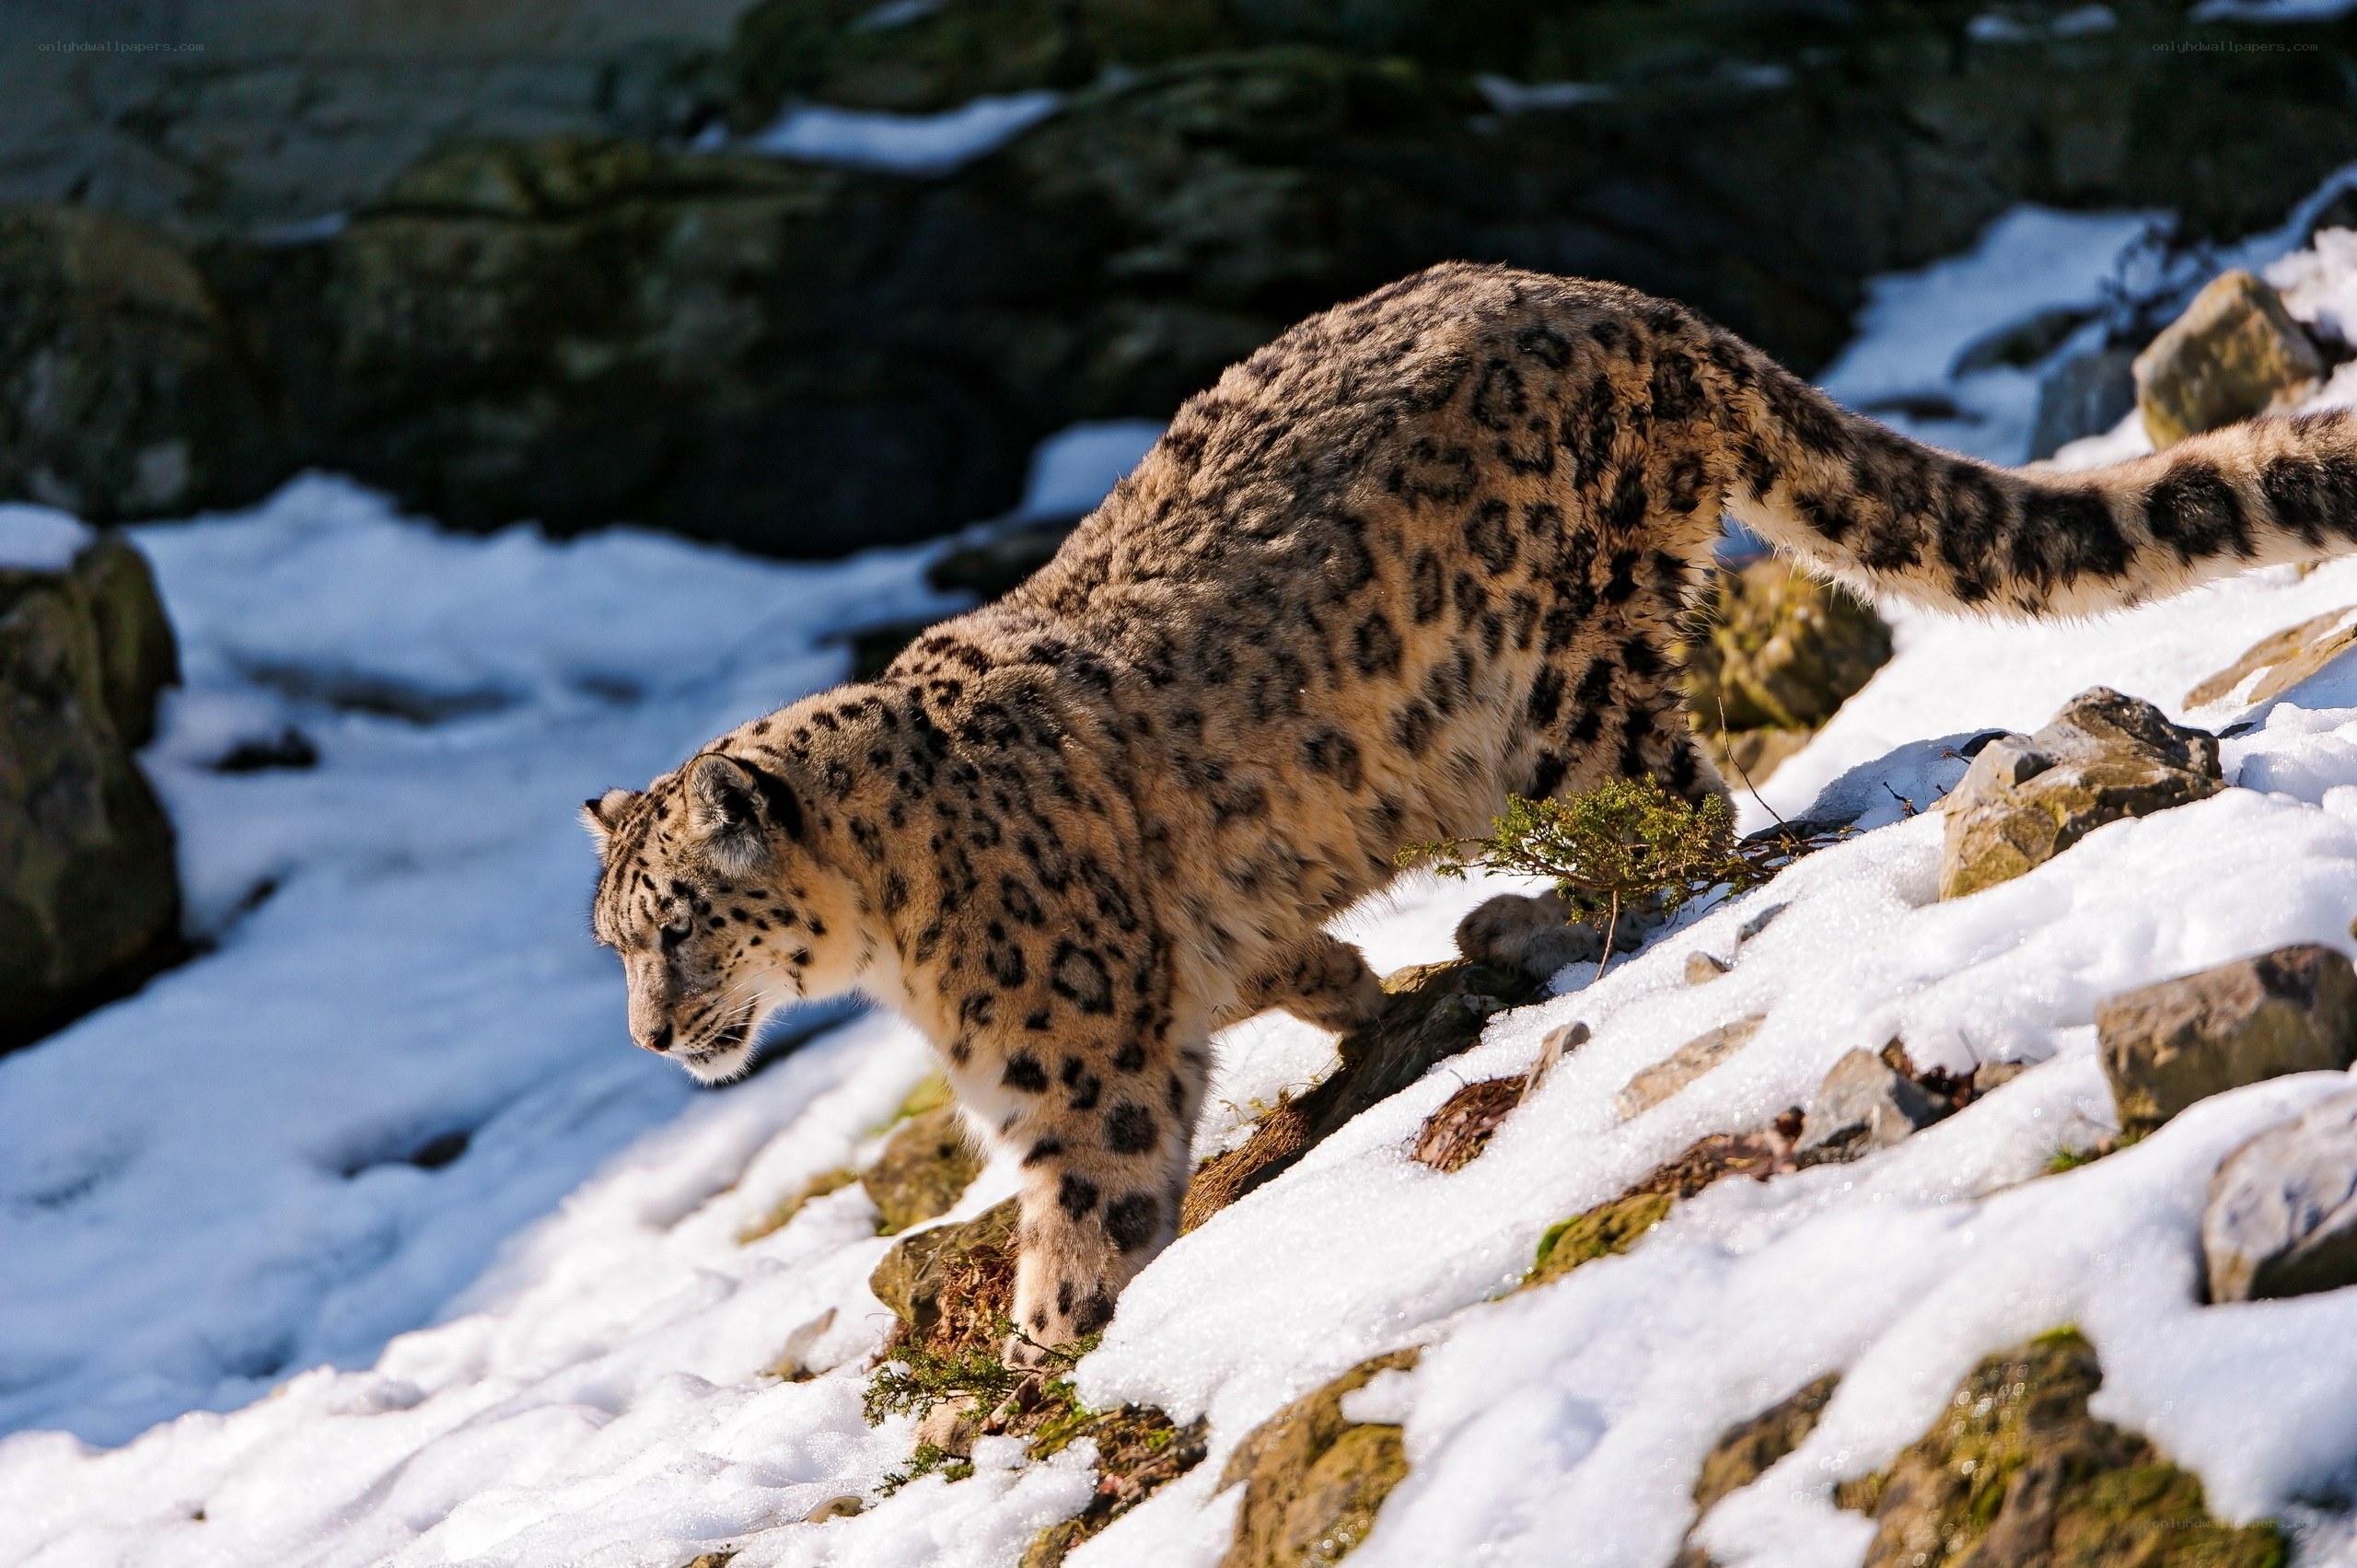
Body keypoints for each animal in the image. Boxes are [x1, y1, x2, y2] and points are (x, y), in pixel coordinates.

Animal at [584, 260, 2357, 1360]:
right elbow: (1268, 953)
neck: (890, 937)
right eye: (615, 942)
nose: (653, 1037)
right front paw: (1340, 984)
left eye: (681, 926)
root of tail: (1626, 302)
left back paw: (1524, 913)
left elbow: (1090, 1207)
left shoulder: (1076, 1068)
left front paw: (1046, 1347)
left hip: (1563, 682)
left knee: (1680, 817)